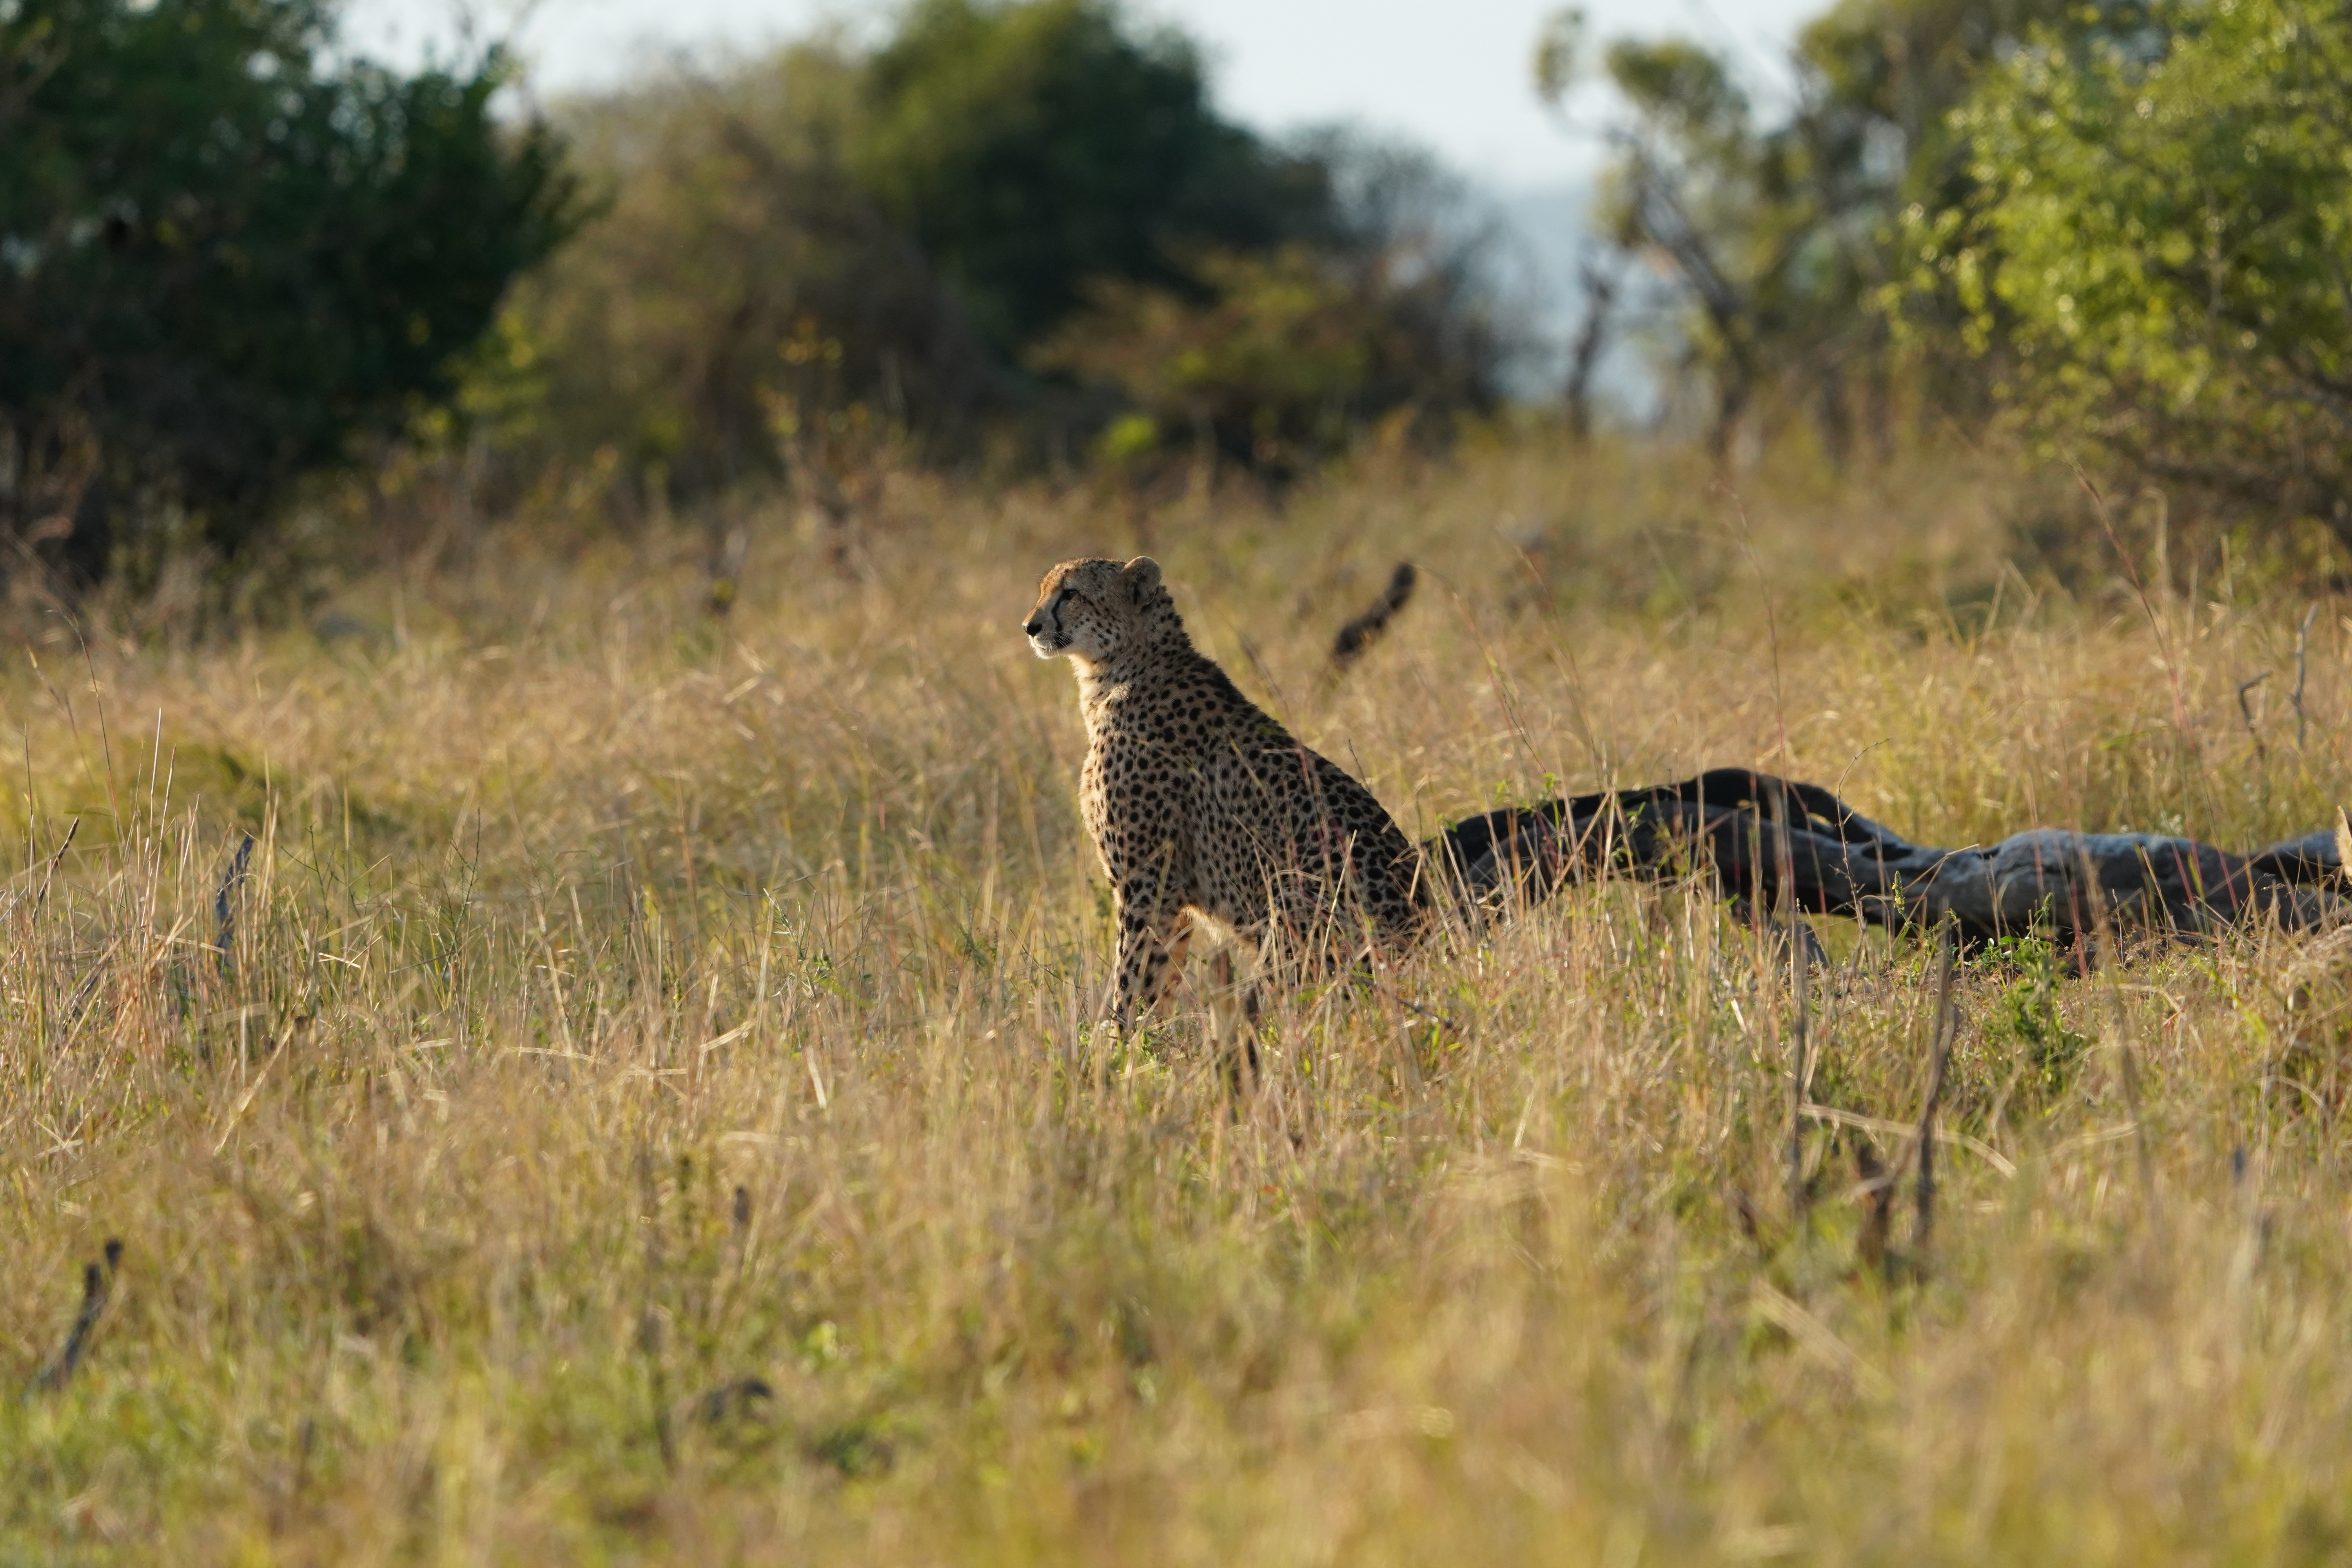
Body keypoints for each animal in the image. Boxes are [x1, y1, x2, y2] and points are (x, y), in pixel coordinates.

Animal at [1023, 554, 1430, 1027]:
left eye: (1070, 593)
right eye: (1043, 590)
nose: (1030, 626)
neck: (1116, 670)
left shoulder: (1149, 886)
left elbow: (1130, 981)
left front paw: (1114, 1042)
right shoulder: (1171, 902)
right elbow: (1156, 986)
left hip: (1290, 908)